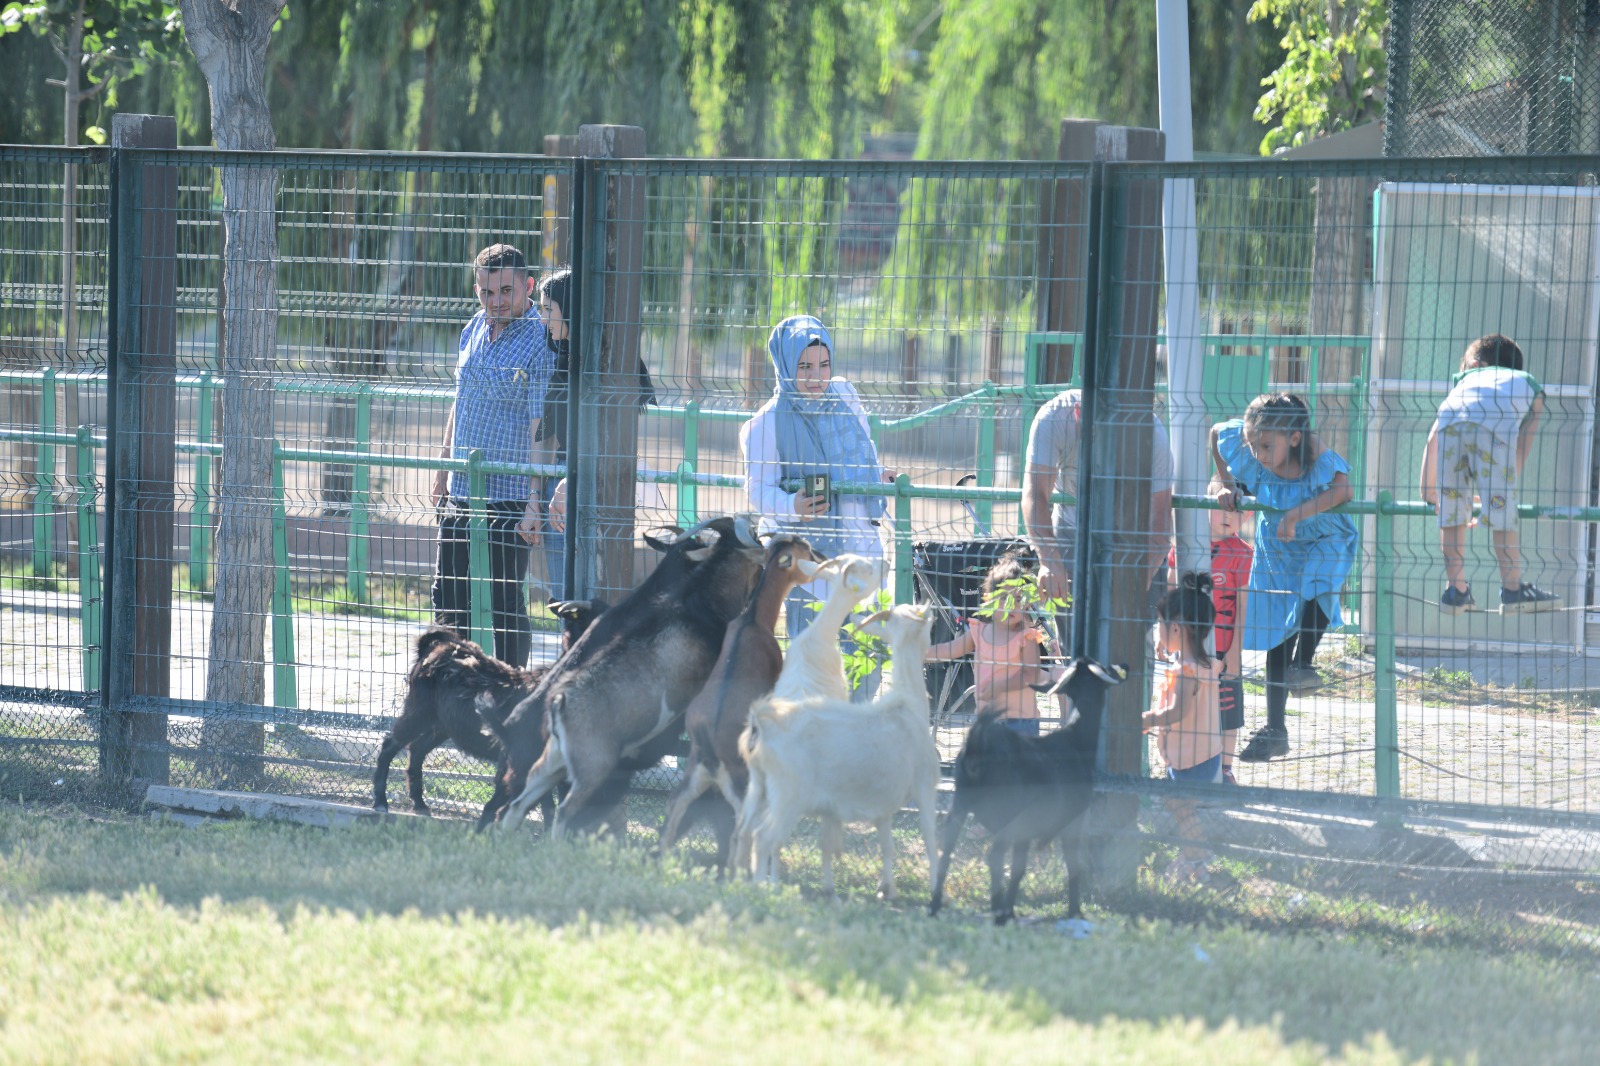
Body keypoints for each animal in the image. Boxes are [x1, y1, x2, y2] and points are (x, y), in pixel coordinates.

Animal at [742, 601, 940, 889]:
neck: (907, 705)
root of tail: (762, 725)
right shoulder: (924, 787)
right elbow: (930, 839)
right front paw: (936, 888)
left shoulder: (883, 804)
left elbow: (887, 847)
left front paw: (886, 889)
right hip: (789, 795)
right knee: (763, 837)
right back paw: (762, 889)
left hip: (759, 787)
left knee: (746, 831)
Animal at [928, 653, 1126, 928]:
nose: (1122, 667)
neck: (1076, 741)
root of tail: (979, 743)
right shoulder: (1072, 821)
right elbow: (1071, 865)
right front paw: (1074, 911)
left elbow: (1019, 867)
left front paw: (1012, 909)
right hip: (1011, 816)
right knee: (994, 855)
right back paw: (997, 911)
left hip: (960, 804)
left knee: (945, 848)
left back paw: (935, 906)